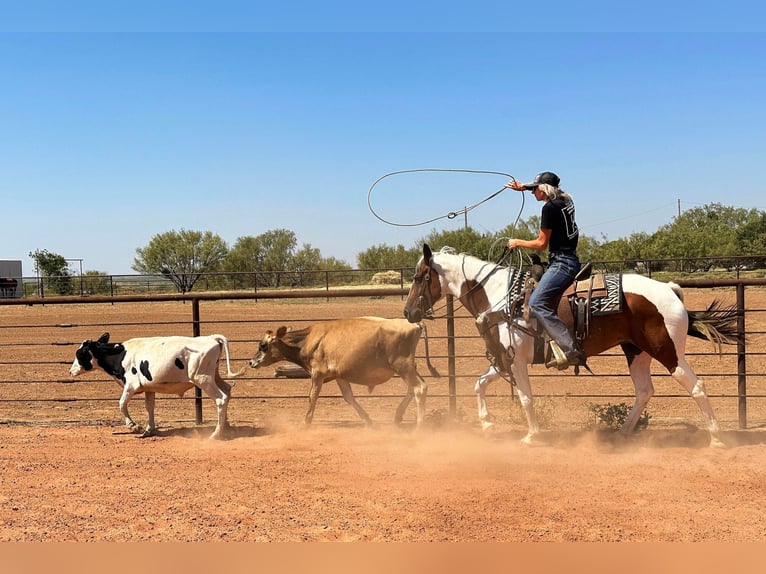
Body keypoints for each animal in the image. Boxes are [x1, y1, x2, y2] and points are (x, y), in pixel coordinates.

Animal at [69, 332, 244, 440]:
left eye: (79, 354)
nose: (71, 371)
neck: (121, 355)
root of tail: (212, 338)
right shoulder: (149, 388)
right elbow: (149, 407)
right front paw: (149, 430)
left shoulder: (131, 385)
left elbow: (121, 404)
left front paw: (134, 426)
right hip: (214, 376)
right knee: (227, 391)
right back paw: (225, 426)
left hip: (203, 379)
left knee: (220, 399)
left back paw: (216, 434)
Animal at [249, 320, 436, 428]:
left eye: (263, 345)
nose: (251, 362)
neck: (308, 340)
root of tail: (414, 324)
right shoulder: (340, 376)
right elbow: (349, 397)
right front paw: (367, 420)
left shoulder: (317, 373)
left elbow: (313, 396)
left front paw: (306, 421)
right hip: (409, 367)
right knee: (413, 388)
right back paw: (398, 415)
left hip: (402, 366)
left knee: (419, 388)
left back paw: (419, 426)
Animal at [404, 245, 740, 448]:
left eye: (420, 277)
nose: (408, 312)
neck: (500, 296)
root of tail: (669, 289)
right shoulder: (502, 359)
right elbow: (479, 384)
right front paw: (486, 423)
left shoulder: (515, 360)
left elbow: (525, 398)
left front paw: (532, 436)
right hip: (636, 351)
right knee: (645, 391)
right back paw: (622, 433)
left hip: (668, 352)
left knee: (695, 386)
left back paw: (716, 438)